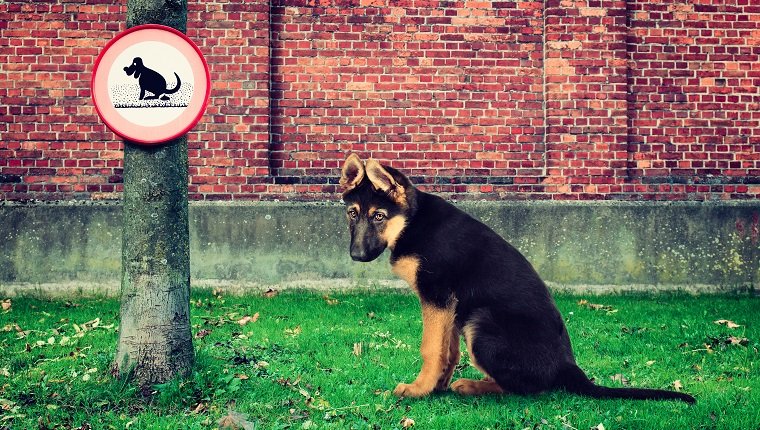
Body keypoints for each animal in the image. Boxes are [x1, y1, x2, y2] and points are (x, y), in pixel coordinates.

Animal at [340, 155, 696, 404]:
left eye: (379, 216)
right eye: (352, 213)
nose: (356, 255)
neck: (411, 222)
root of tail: (567, 365)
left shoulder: (436, 295)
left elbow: (431, 348)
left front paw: (419, 389)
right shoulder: (449, 305)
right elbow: (448, 351)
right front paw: (437, 386)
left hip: (481, 323)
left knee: (528, 389)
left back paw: (473, 386)